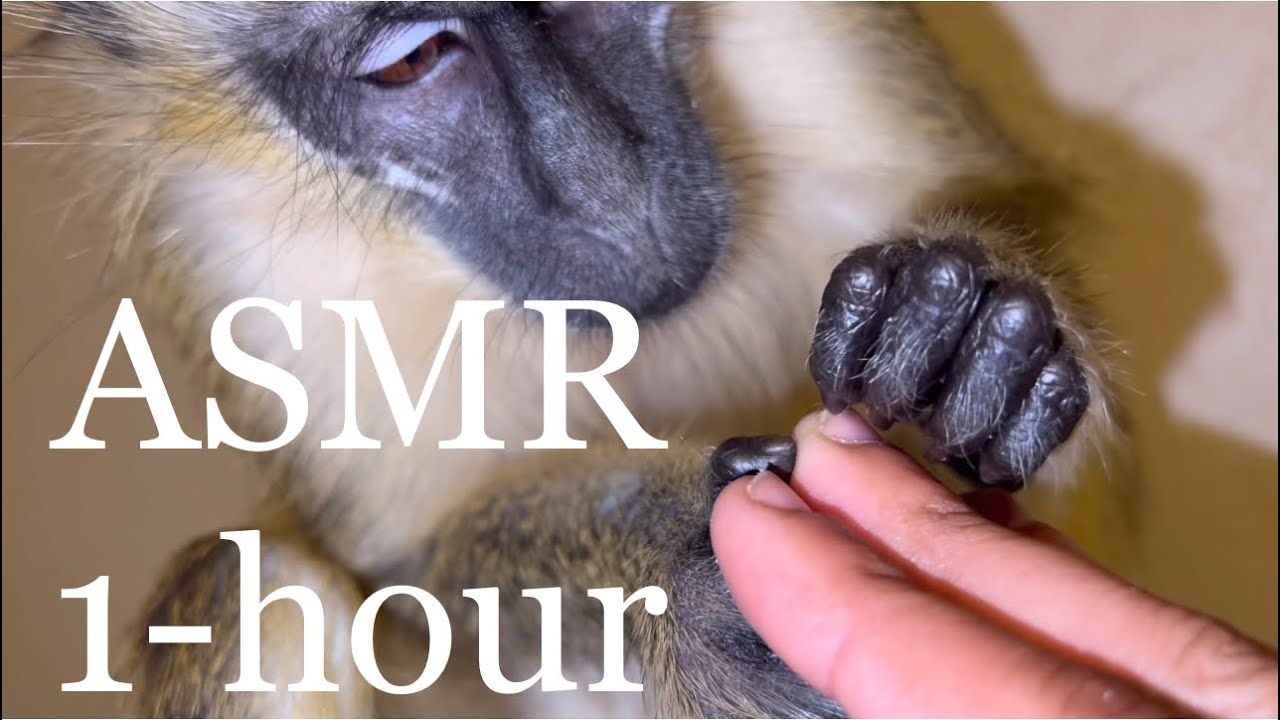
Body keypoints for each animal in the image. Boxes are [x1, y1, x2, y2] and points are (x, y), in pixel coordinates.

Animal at [3, 2, 1118, 718]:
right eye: (410, 63)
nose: (609, 188)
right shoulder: (222, 230)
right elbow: (413, 567)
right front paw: (679, 562)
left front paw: (972, 324)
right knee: (244, 579)